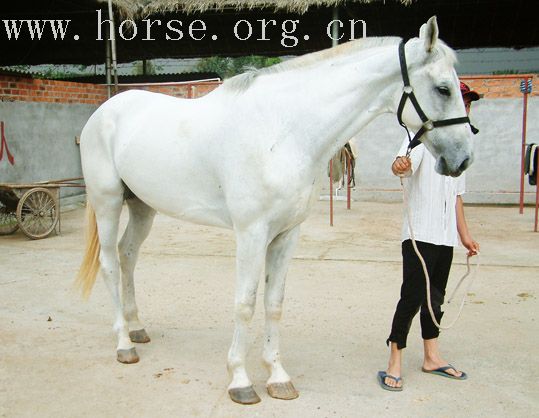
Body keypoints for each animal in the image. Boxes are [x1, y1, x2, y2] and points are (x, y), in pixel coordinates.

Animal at [76, 17, 472, 404]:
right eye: (443, 89)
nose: (463, 159)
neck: (283, 130)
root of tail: (103, 112)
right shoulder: (251, 233)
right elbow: (245, 303)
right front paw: (240, 380)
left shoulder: (286, 233)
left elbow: (274, 303)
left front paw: (278, 376)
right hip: (108, 203)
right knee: (110, 263)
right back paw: (124, 344)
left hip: (143, 207)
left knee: (127, 256)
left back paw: (137, 328)